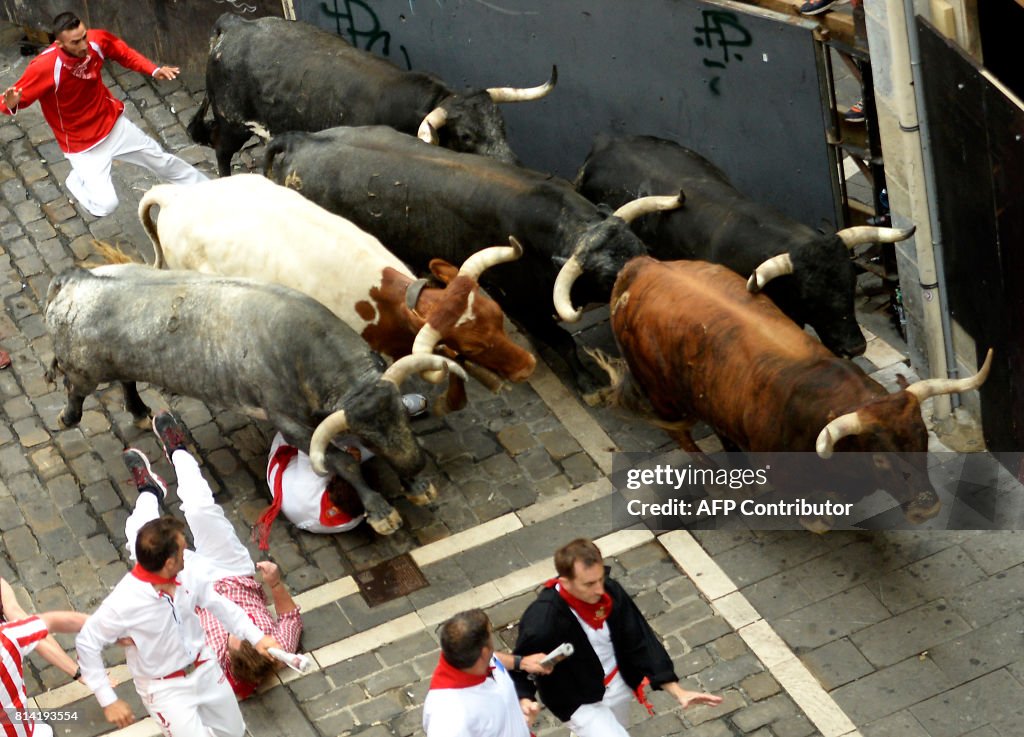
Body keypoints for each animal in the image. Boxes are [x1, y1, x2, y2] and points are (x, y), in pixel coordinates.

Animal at [598, 257, 991, 524]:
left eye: (923, 441)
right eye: (880, 458)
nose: (929, 506)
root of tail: (641, 266)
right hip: (661, 394)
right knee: (680, 434)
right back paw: (718, 477)